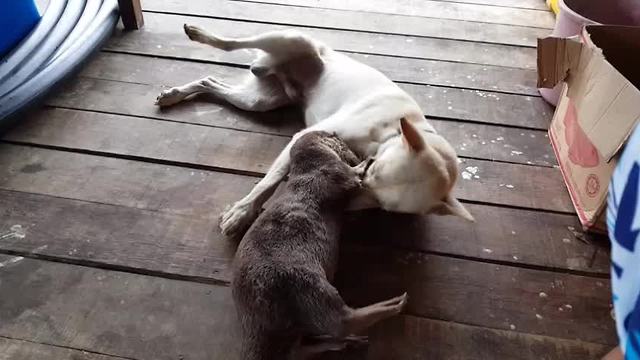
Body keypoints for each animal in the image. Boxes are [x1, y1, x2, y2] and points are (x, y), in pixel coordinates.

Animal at [156, 26, 476, 239]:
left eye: (381, 205)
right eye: (373, 167)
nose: (349, 189)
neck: (390, 133)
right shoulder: (305, 136)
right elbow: (269, 181)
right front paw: (243, 212)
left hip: (259, 100)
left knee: (211, 81)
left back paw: (175, 94)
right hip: (290, 40)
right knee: (233, 43)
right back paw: (199, 34)